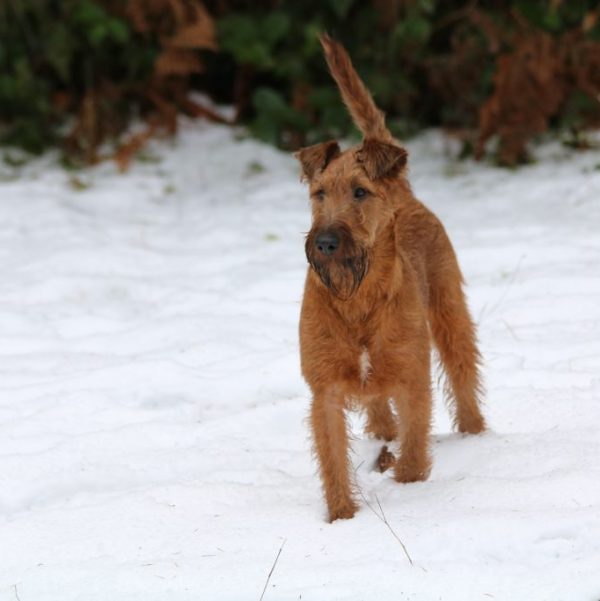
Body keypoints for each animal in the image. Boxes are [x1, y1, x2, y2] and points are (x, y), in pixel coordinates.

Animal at [298, 35, 486, 520]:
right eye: (318, 193)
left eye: (360, 192)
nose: (325, 241)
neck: (358, 299)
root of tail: (402, 191)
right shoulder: (325, 389)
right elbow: (332, 458)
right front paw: (341, 517)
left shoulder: (412, 378)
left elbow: (416, 451)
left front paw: (407, 484)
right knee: (378, 411)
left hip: (449, 314)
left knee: (463, 378)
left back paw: (478, 435)